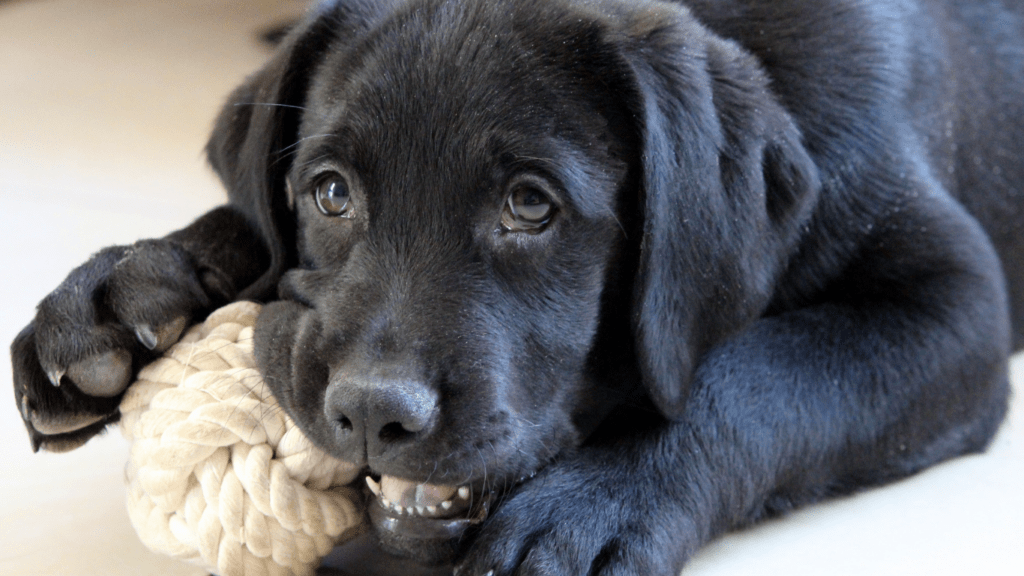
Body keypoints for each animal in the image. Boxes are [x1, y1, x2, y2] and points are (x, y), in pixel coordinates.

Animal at [9, 0, 1024, 569]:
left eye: (530, 205)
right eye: (330, 193)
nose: (372, 414)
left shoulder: (956, 307)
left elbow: (753, 375)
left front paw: (594, 507)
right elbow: (249, 228)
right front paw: (125, 288)